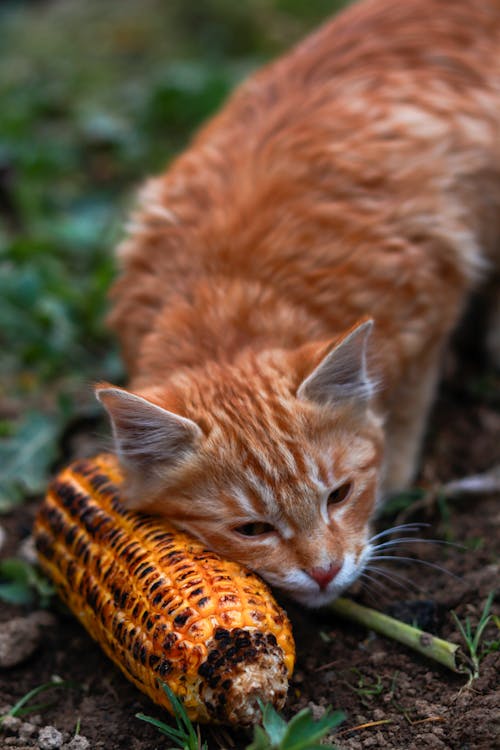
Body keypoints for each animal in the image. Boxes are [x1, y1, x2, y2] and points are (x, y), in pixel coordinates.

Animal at [95, 0, 500, 608]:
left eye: (340, 495)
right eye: (253, 529)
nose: (325, 571)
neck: (227, 290)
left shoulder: (435, 290)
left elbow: (406, 411)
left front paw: (395, 473)